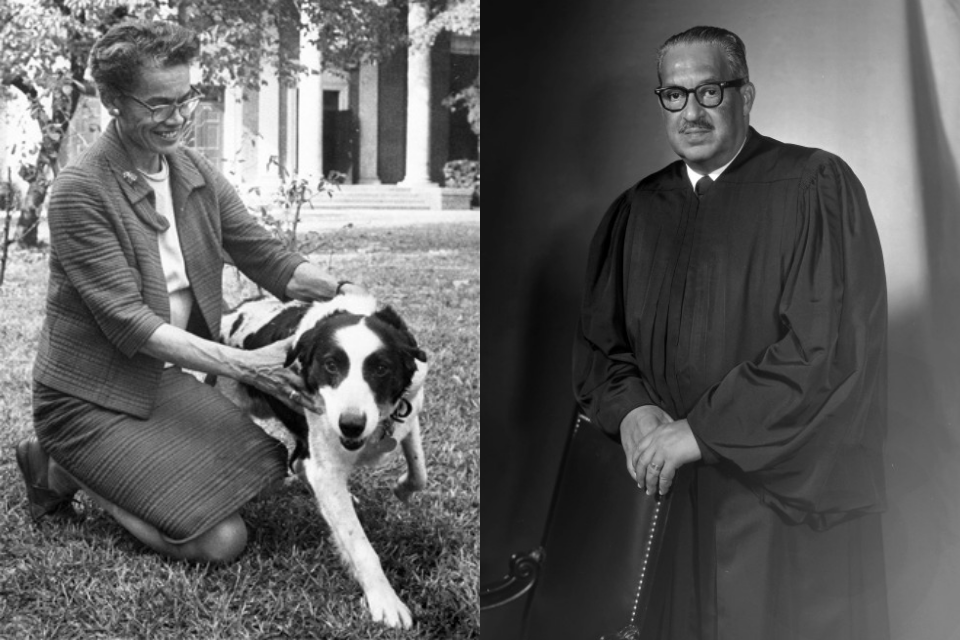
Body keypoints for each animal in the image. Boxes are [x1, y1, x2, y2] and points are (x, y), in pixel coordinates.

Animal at [219, 292, 430, 628]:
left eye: (381, 368)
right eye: (331, 365)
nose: (351, 425)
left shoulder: (409, 411)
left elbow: (419, 469)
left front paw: (403, 488)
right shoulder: (327, 467)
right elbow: (359, 544)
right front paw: (385, 599)